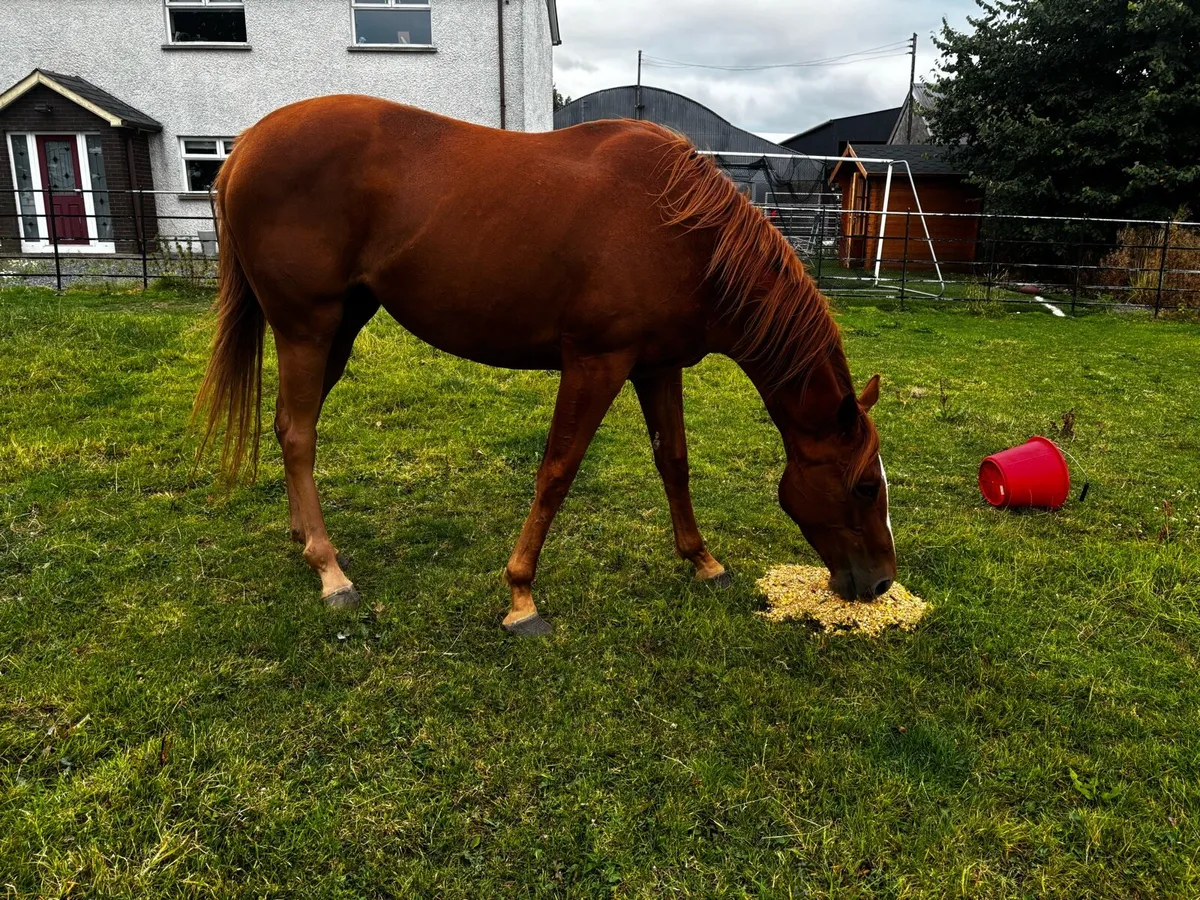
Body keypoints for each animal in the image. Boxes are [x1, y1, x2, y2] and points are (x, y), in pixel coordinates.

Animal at [194, 95, 896, 636]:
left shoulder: (656, 366)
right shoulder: (596, 362)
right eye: (865, 485)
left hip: (340, 326)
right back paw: (330, 568)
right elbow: (558, 470)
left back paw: (302, 541)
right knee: (298, 435)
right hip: (307, 328)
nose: (882, 583)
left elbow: (674, 462)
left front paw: (703, 561)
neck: (681, 233)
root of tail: (243, 148)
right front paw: (521, 595)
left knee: (288, 425)